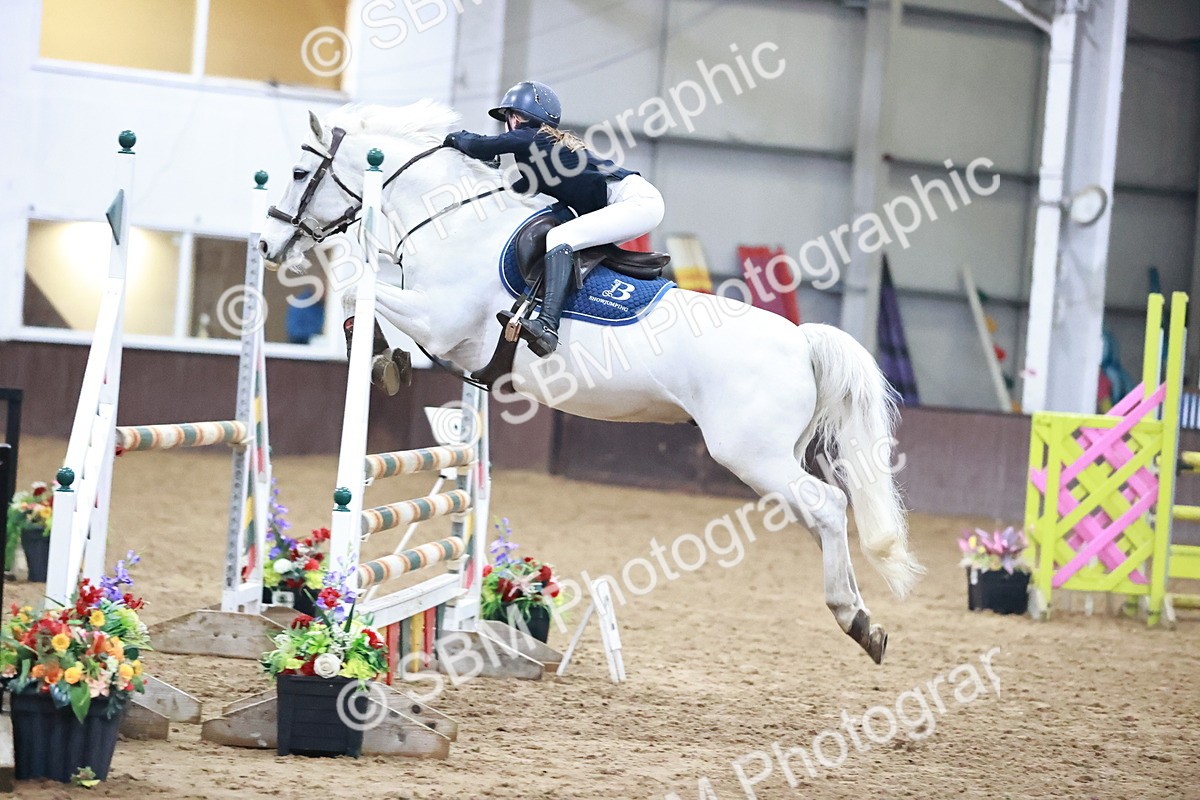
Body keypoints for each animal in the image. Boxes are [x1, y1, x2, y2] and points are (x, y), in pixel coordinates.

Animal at [259, 101, 923, 664]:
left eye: (298, 170)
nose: (267, 244)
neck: (451, 221)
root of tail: (801, 341)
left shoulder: (443, 322)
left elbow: (359, 290)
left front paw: (375, 356)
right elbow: (368, 294)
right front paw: (385, 359)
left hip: (750, 454)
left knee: (829, 507)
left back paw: (855, 619)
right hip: (772, 458)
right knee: (821, 516)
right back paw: (862, 619)